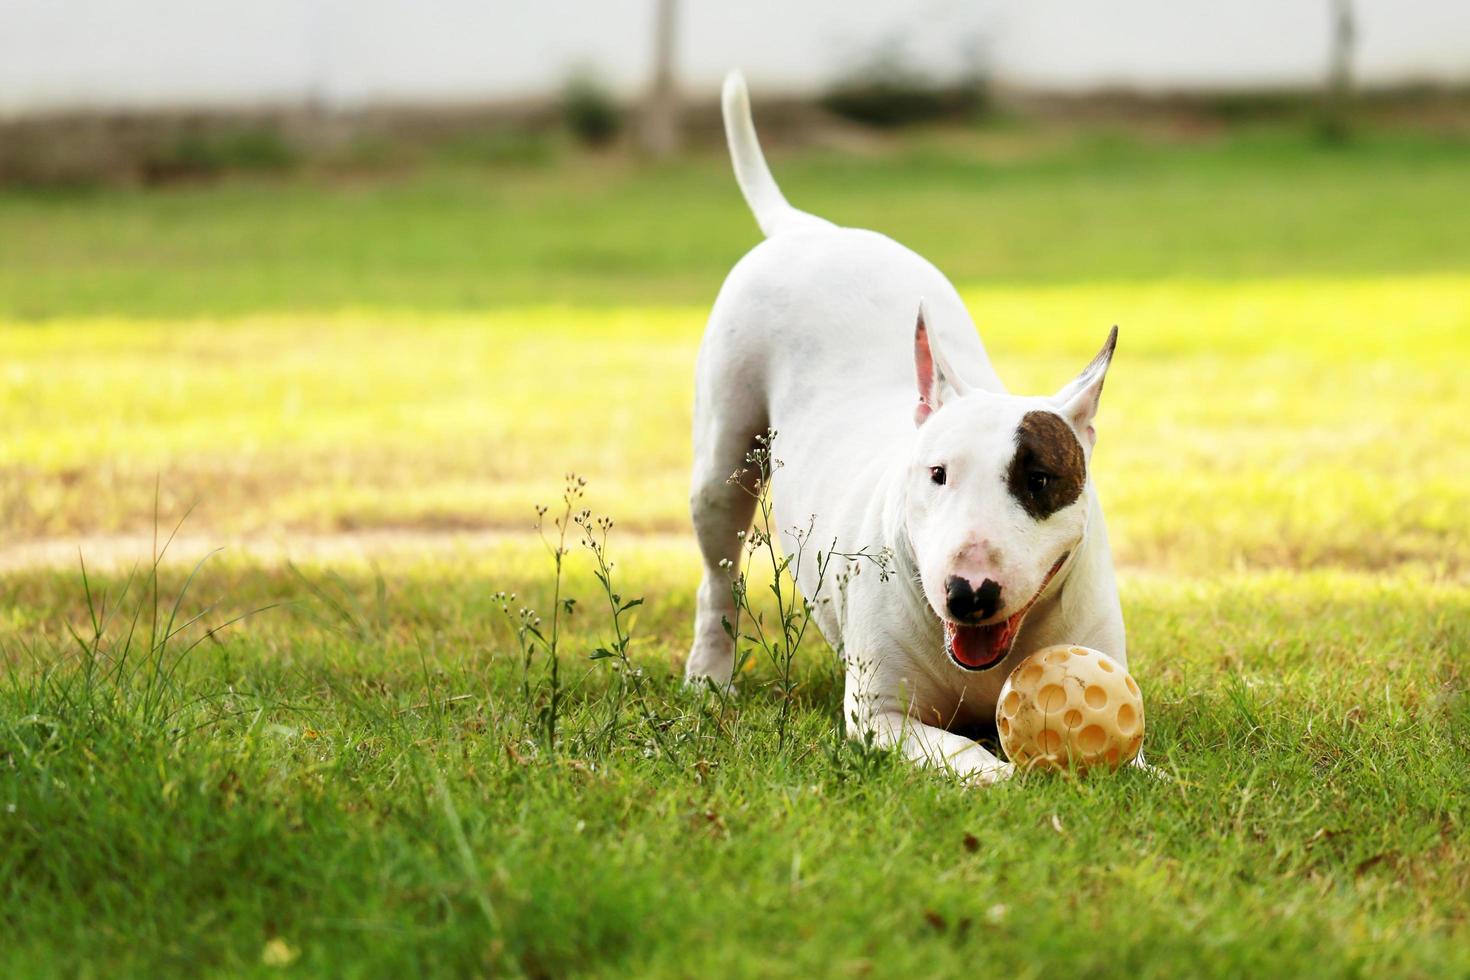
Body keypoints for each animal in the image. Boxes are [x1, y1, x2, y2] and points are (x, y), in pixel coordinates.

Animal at [682, 72, 1128, 787]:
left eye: (1039, 478)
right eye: (937, 474)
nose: (967, 593)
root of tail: (808, 229)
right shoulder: (880, 717)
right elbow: (963, 752)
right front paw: (1013, 777)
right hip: (724, 459)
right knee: (717, 573)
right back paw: (708, 680)